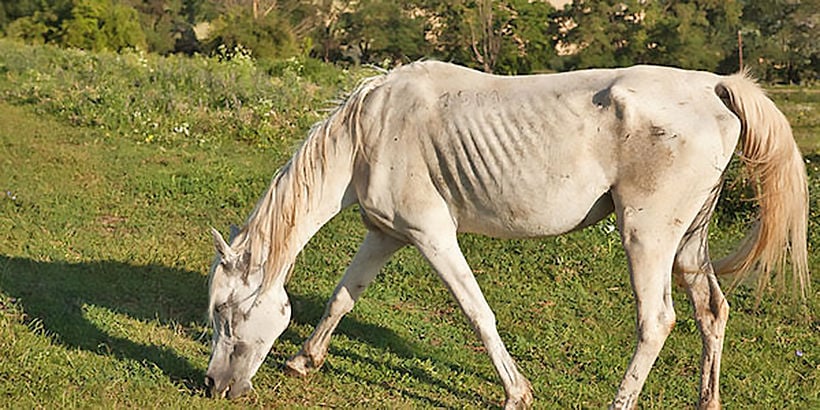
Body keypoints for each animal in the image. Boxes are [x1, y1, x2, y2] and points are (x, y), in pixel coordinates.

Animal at [203, 61, 808, 410]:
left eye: (227, 314)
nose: (212, 386)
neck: (370, 131)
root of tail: (714, 87)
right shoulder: (385, 234)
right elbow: (342, 298)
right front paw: (305, 360)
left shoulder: (432, 235)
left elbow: (478, 313)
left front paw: (517, 391)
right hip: (687, 244)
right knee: (712, 312)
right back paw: (708, 401)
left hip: (647, 237)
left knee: (656, 321)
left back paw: (620, 402)